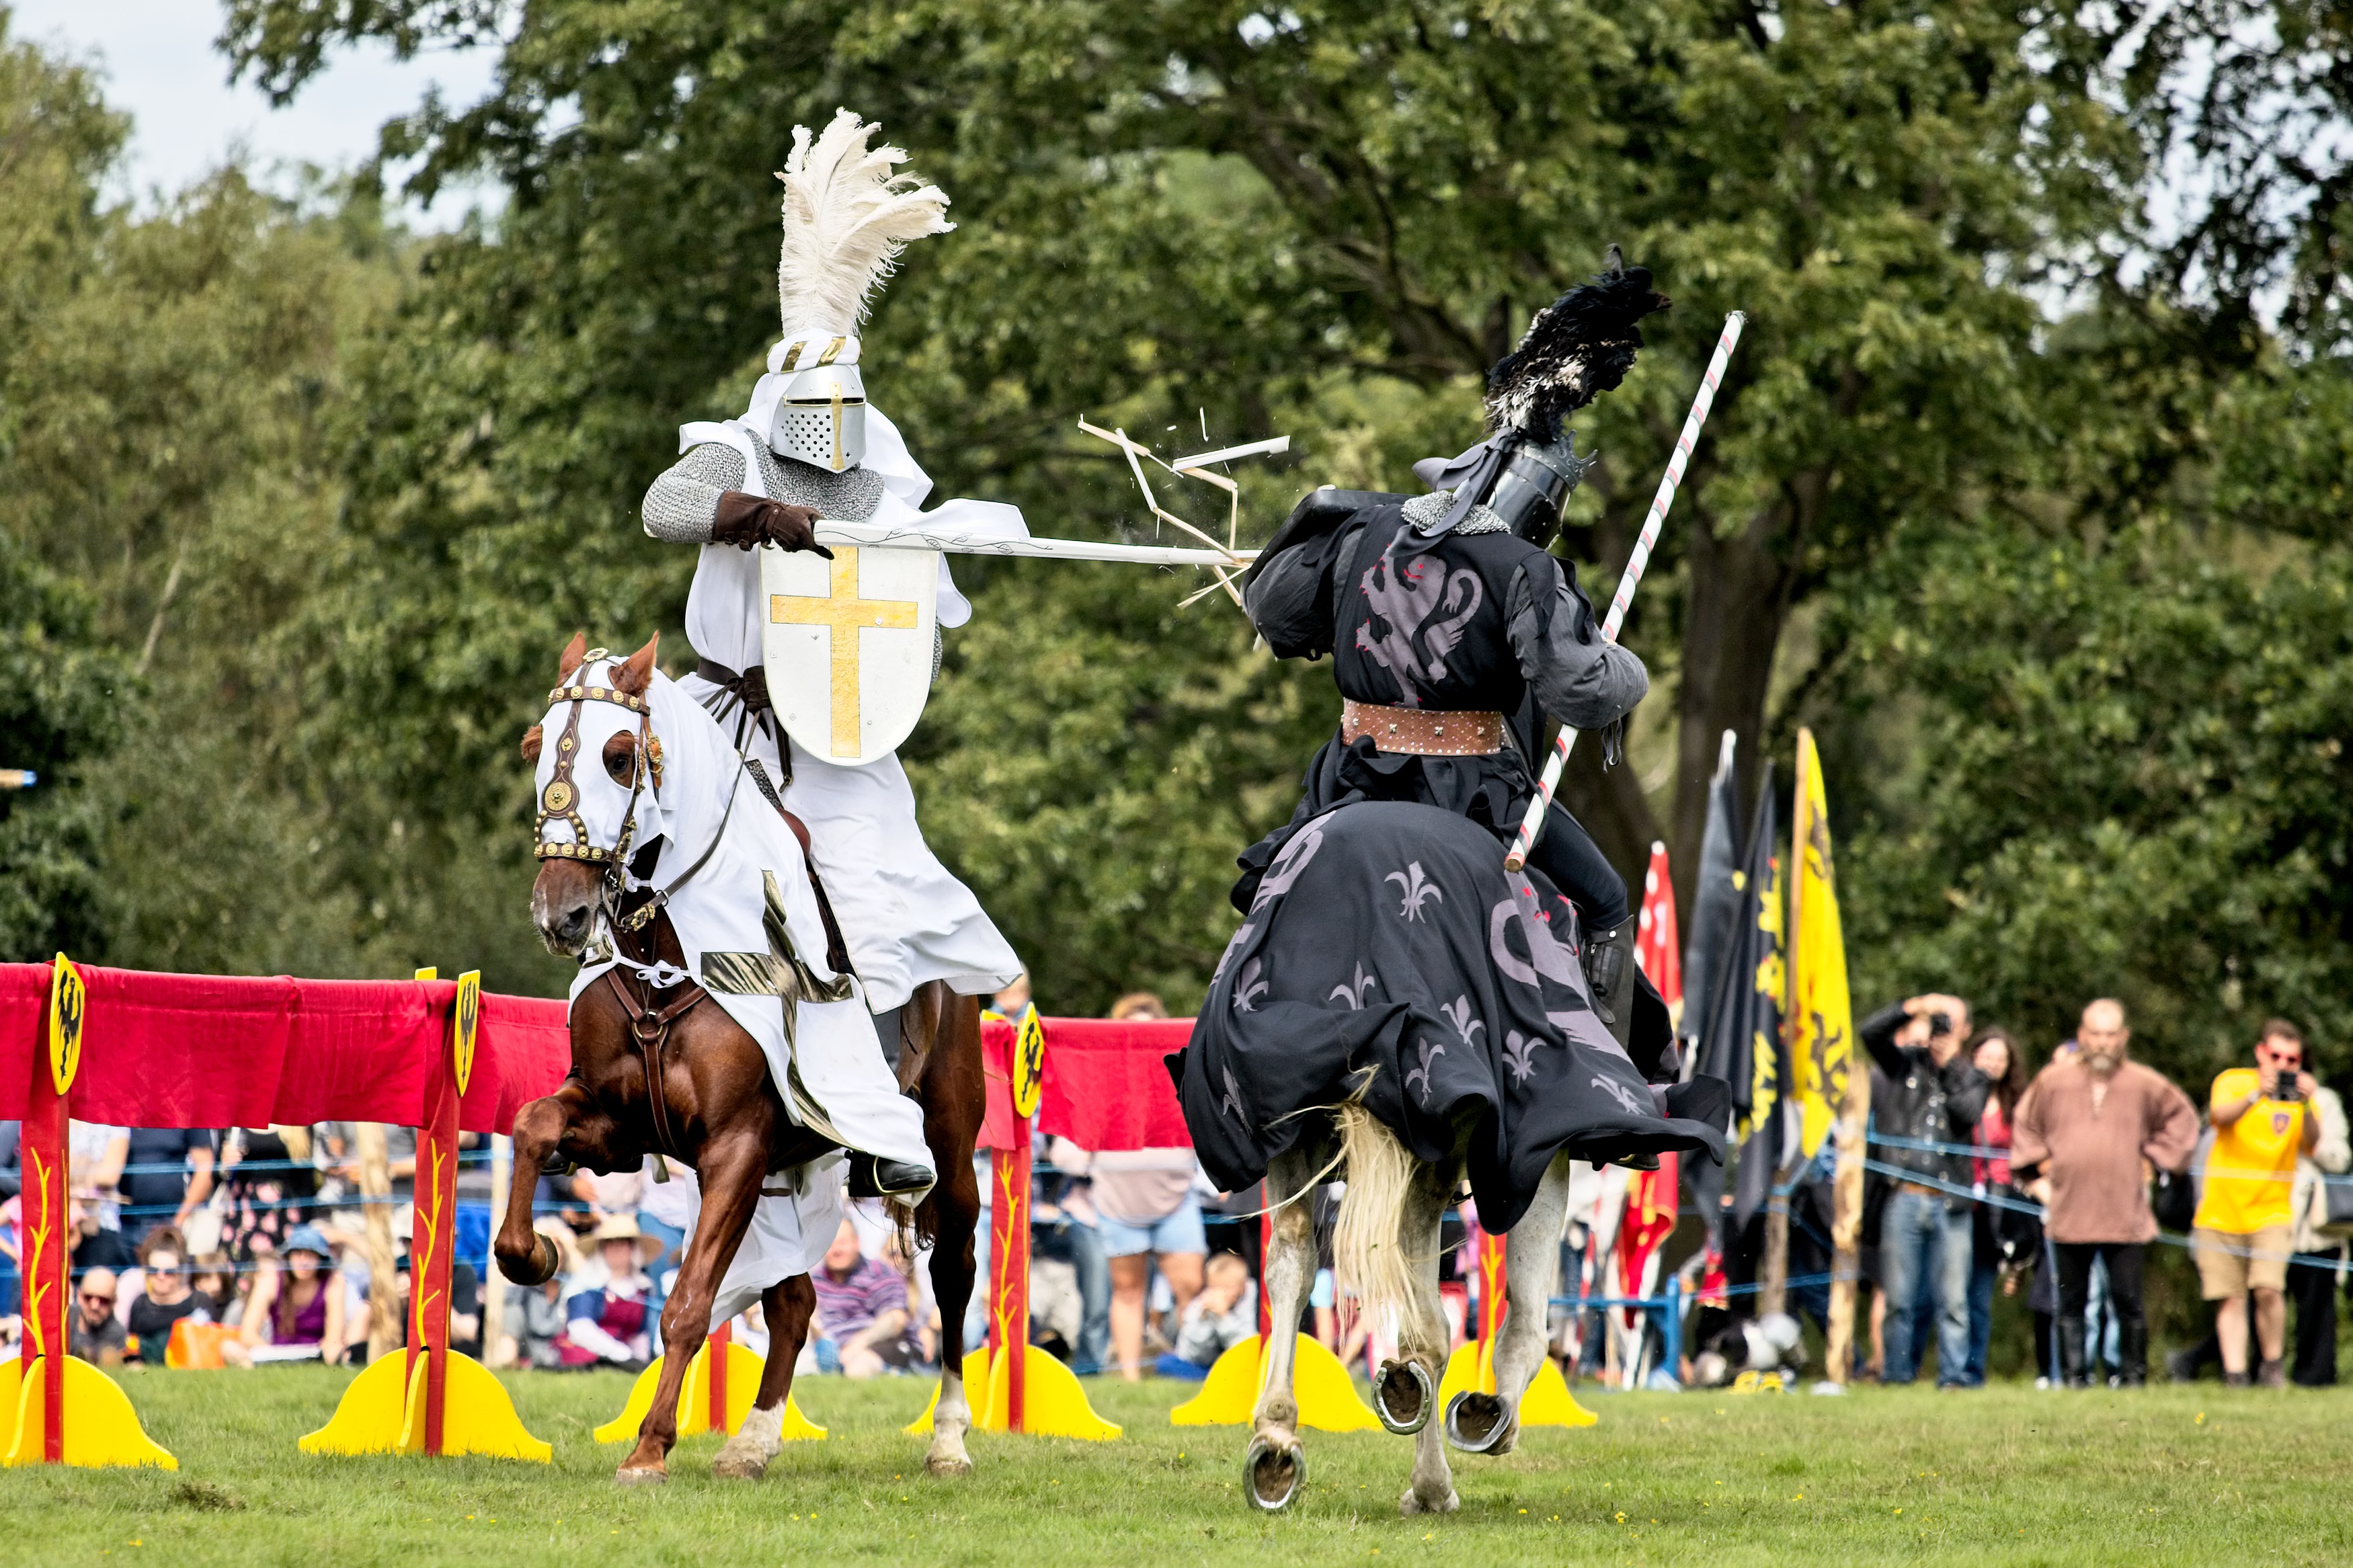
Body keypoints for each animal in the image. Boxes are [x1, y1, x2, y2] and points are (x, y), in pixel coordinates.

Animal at [489, 630, 984, 1476]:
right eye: (535, 747)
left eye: (619, 755)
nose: (563, 914)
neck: (665, 957)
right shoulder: (621, 1124)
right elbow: (532, 1126)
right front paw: (535, 1255)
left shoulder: (736, 1144)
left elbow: (688, 1303)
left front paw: (648, 1448)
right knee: (793, 1299)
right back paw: (752, 1441)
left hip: (948, 1146)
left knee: (951, 1273)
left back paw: (947, 1437)